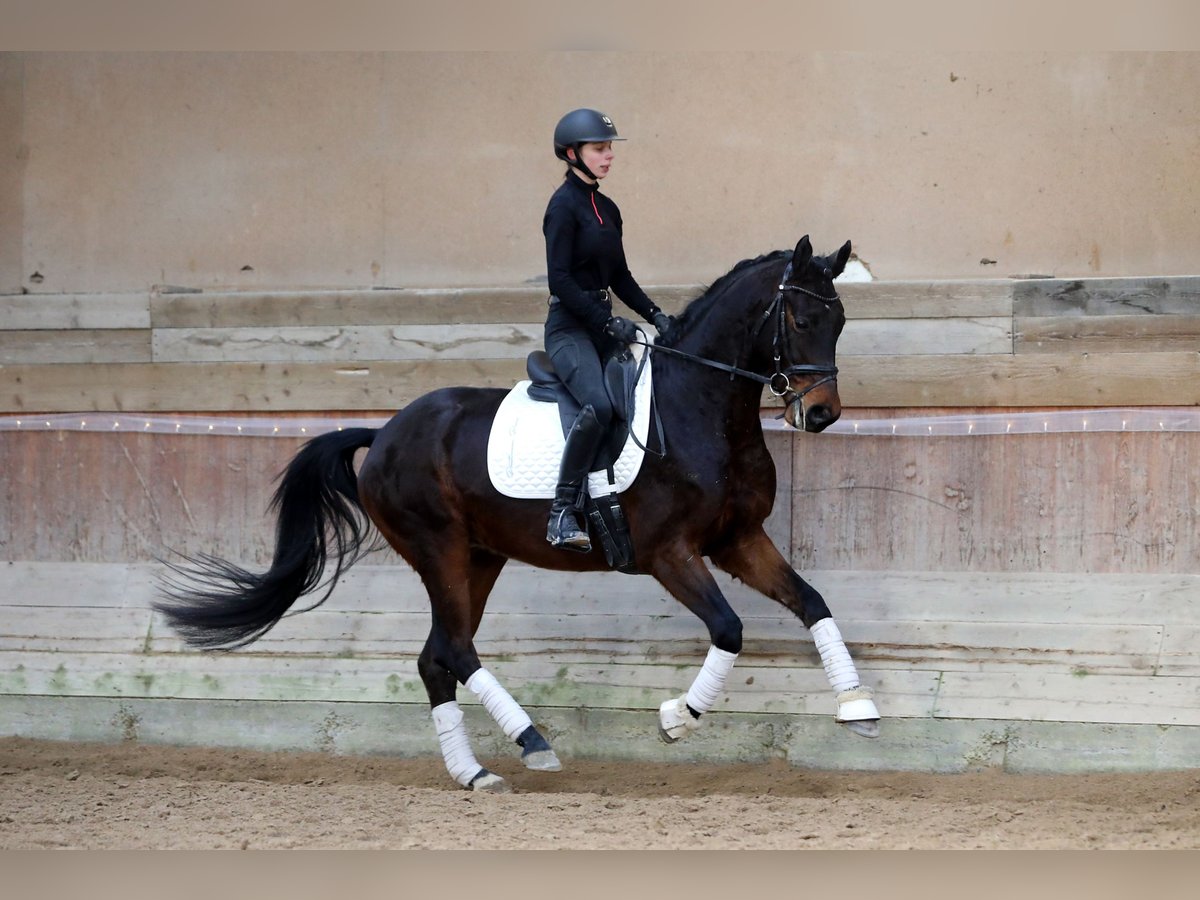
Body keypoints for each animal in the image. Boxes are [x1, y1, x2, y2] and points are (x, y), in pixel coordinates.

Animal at [152, 236, 883, 792]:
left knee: (436, 657)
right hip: (439, 550)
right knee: (454, 648)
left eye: (840, 322)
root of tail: (383, 433)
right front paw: (678, 717)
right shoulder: (669, 553)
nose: (821, 414)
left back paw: (474, 773)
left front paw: (858, 705)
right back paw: (532, 741)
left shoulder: (738, 539)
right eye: (799, 320)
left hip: (479, 557)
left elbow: (812, 602)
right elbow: (730, 629)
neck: (699, 406)